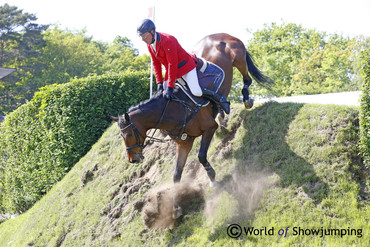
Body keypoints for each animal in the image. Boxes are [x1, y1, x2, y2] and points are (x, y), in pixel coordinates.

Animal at [110, 32, 272, 218]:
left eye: (129, 135)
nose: (133, 159)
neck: (174, 109)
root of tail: (221, 34)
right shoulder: (184, 142)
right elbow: (176, 175)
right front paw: (176, 208)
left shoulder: (209, 128)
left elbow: (201, 156)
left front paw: (212, 178)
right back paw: (222, 111)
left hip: (238, 58)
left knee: (246, 78)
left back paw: (244, 99)